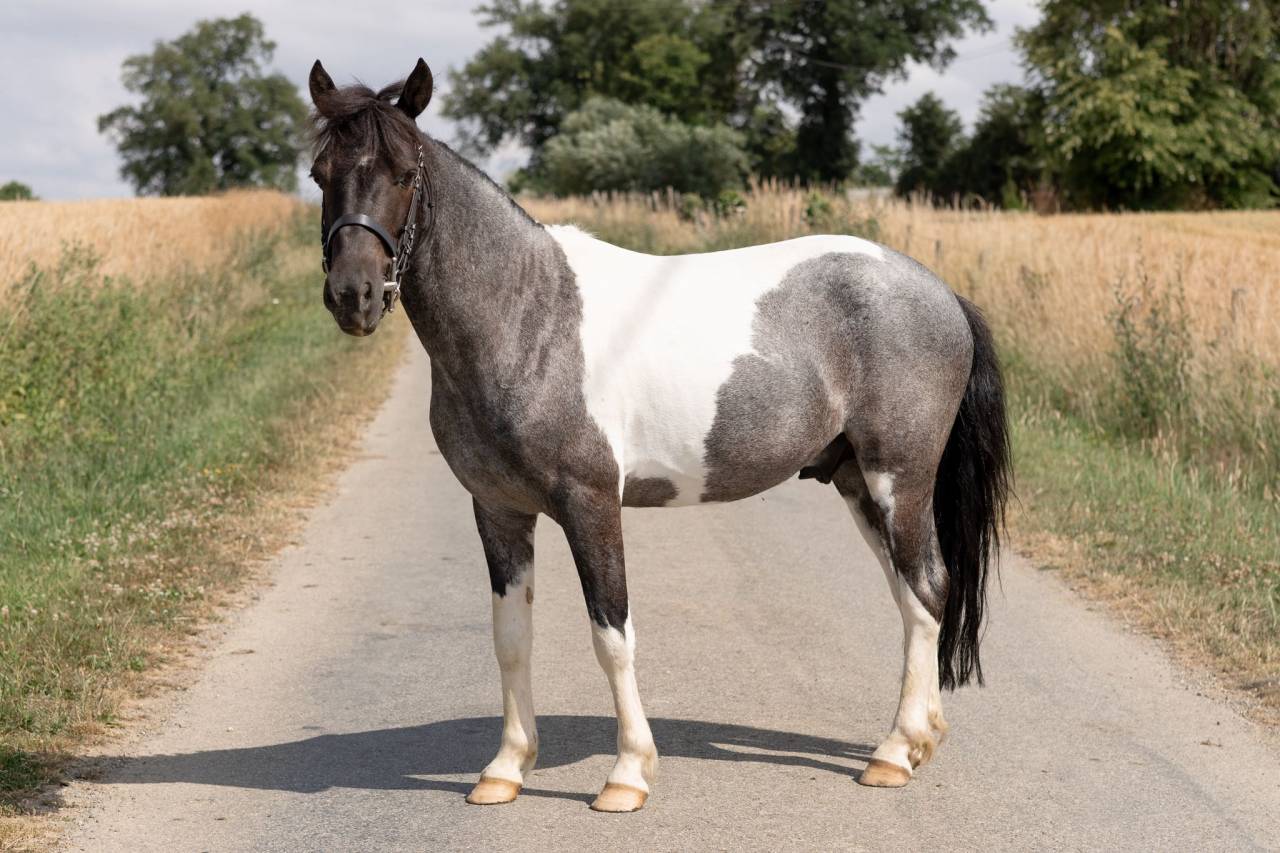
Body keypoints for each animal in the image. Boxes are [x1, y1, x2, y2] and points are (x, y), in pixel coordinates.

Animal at [307, 58, 1011, 813]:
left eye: (405, 172)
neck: (527, 317)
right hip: (854, 479)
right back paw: (919, 738)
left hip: (897, 477)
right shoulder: (497, 509)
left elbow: (611, 634)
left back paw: (894, 753)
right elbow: (511, 636)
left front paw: (627, 774)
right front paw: (505, 768)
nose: (354, 296)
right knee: (911, 596)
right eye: (320, 173)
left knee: (927, 590)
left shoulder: (590, 503)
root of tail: (941, 293)